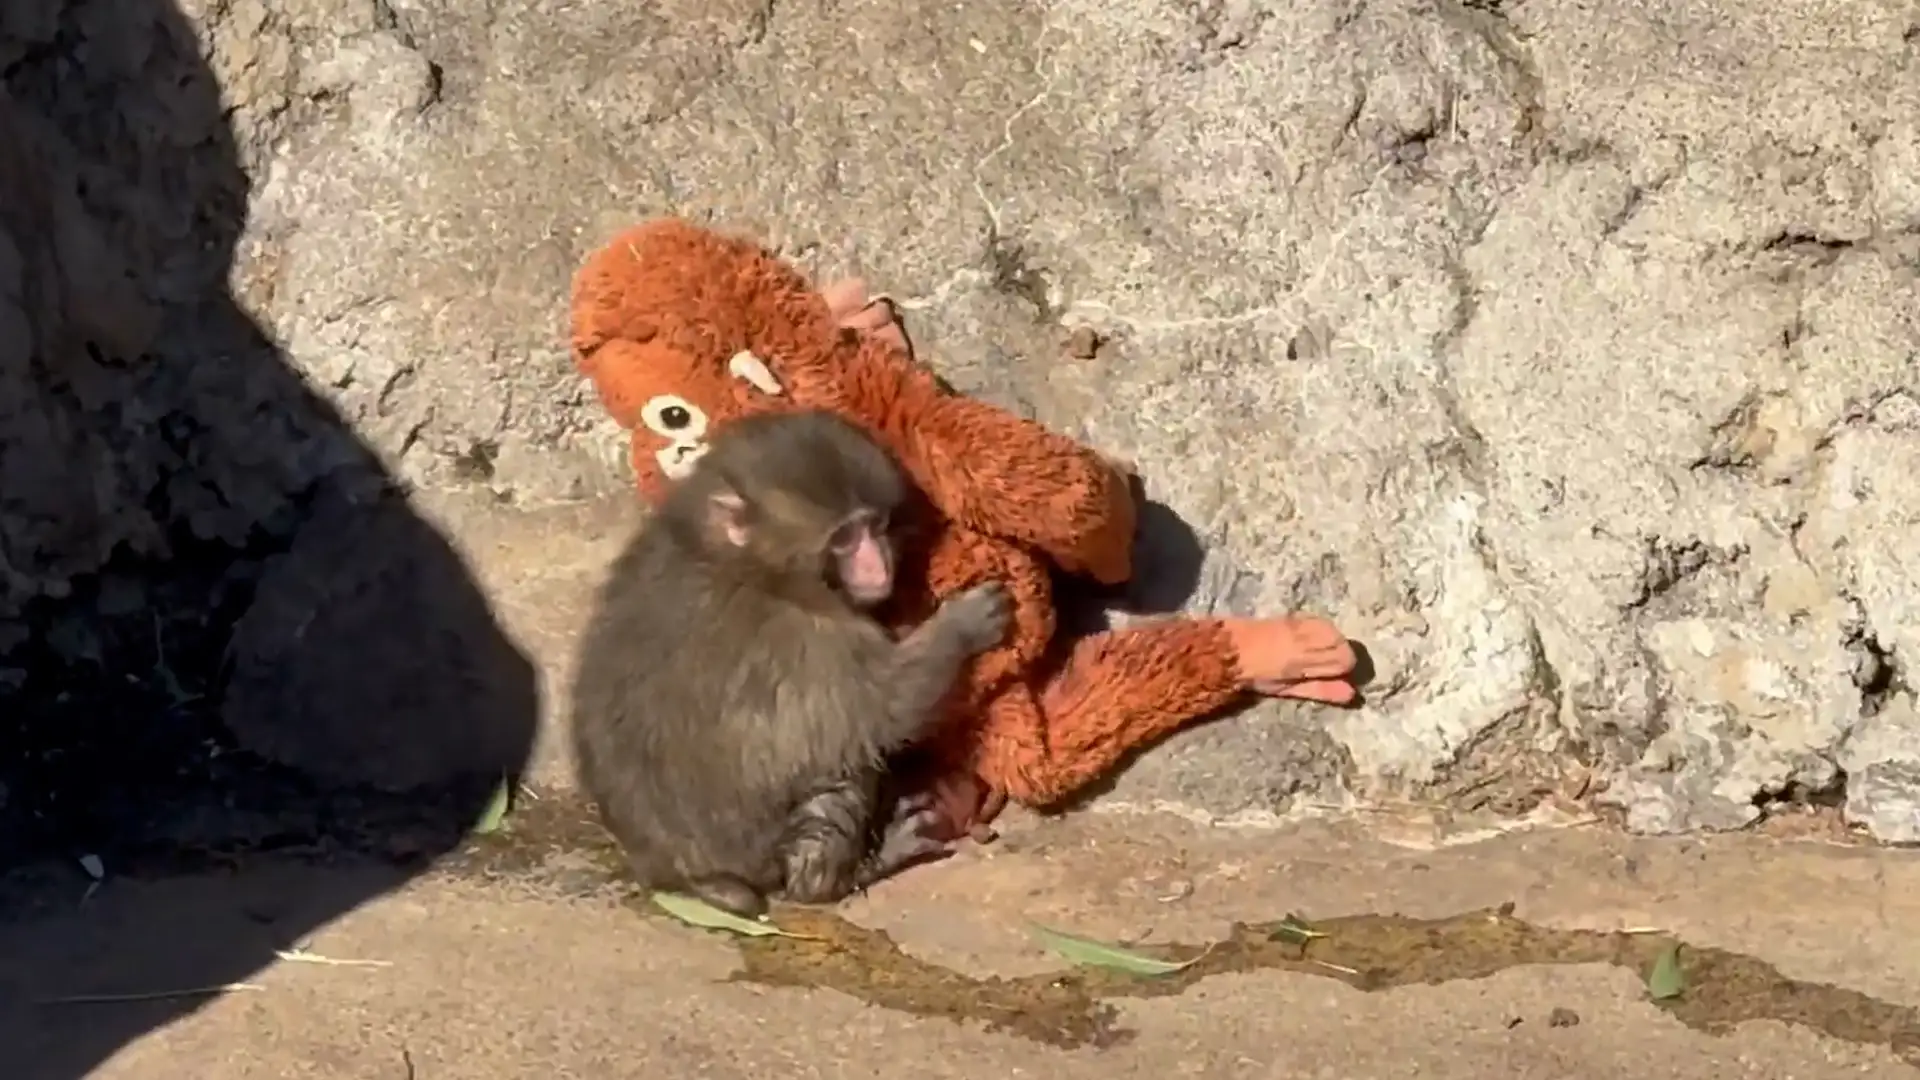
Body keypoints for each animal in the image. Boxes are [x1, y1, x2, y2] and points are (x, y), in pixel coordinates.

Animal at [569, 409, 1011, 918]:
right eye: (844, 537)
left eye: (875, 525)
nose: (879, 567)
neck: (748, 564)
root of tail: (676, 875)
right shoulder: (813, 638)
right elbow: (887, 706)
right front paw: (963, 624)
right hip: (761, 850)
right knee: (840, 774)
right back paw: (843, 875)